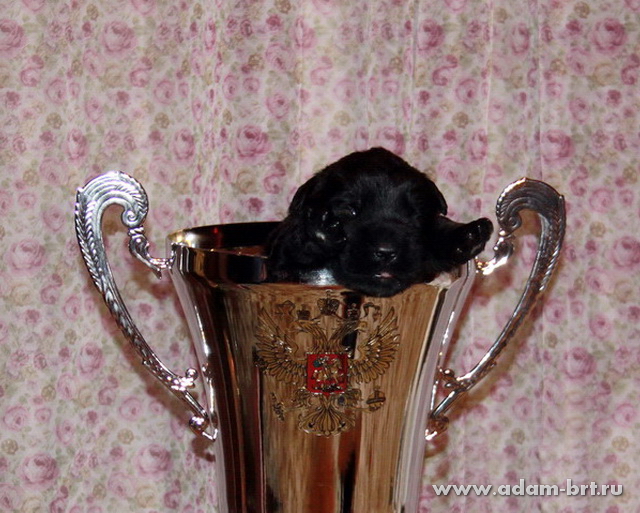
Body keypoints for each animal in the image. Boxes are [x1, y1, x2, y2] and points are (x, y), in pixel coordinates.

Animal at [266, 147, 493, 297]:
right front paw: (322, 229)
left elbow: (438, 228)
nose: (386, 252)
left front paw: (467, 235)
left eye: (416, 214)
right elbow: (296, 243)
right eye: (349, 210)